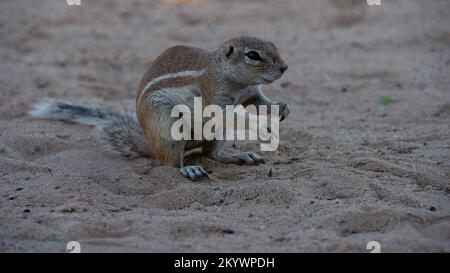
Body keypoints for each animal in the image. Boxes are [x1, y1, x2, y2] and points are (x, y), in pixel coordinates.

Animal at [32, 36, 292, 181]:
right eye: (253, 55)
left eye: (274, 45)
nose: (284, 67)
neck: (237, 81)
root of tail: (151, 147)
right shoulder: (213, 93)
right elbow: (233, 114)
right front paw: (262, 124)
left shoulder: (251, 93)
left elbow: (260, 102)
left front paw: (281, 108)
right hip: (168, 127)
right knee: (171, 164)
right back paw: (189, 171)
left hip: (216, 132)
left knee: (212, 154)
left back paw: (240, 156)